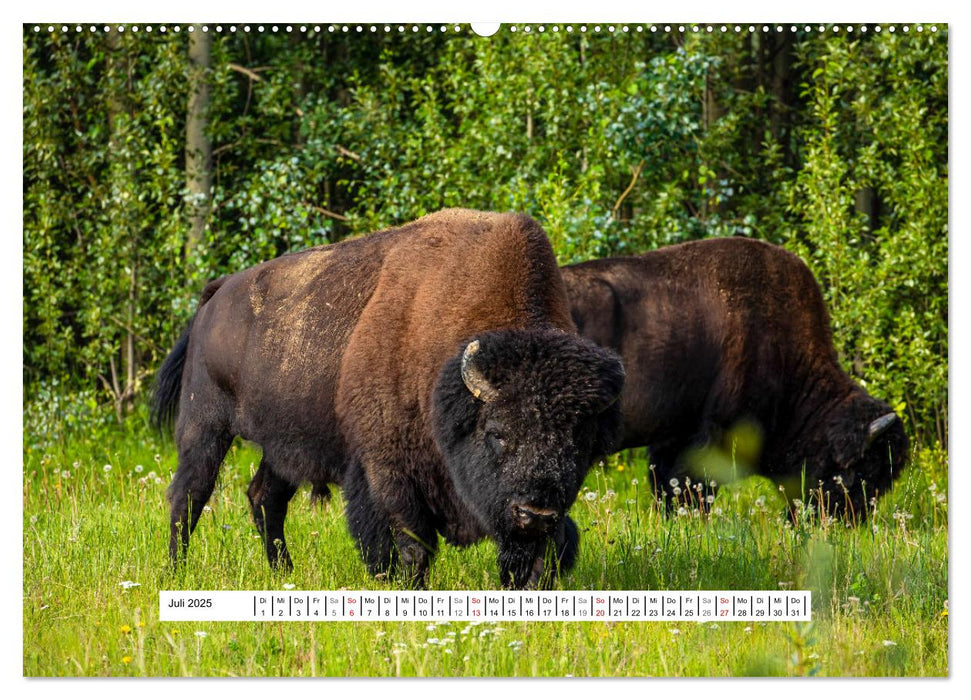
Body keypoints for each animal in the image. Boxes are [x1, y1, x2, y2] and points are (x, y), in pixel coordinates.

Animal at [152, 209, 624, 592]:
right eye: (497, 433)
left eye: (580, 442)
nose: (535, 513)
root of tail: (216, 294)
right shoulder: (388, 471)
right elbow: (411, 543)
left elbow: (546, 553)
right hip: (205, 425)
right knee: (189, 495)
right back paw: (177, 571)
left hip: (283, 444)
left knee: (265, 498)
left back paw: (284, 573)